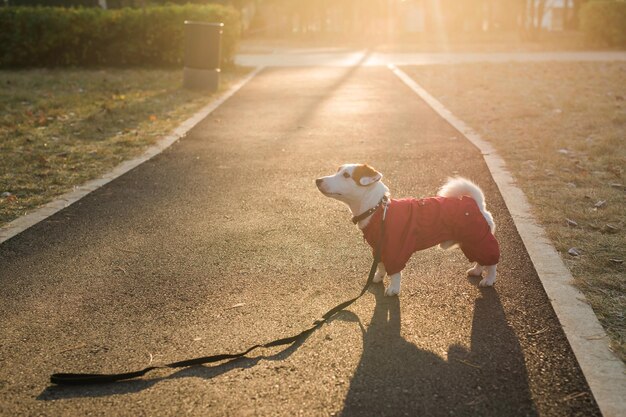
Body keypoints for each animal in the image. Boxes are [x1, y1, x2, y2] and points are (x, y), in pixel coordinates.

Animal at [314, 163, 500, 296]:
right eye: (338, 170)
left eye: (346, 175)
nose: (318, 180)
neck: (377, 210)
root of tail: (476, 203)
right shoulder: (379, 248)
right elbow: (380, 266)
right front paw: (378, 277)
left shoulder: (396, 249)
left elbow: (395, 273)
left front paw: (393, 289)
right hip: (470, 242)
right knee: (481, 260)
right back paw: (476, 270)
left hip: (479, 239)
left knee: (492, 263)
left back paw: (489, 280)